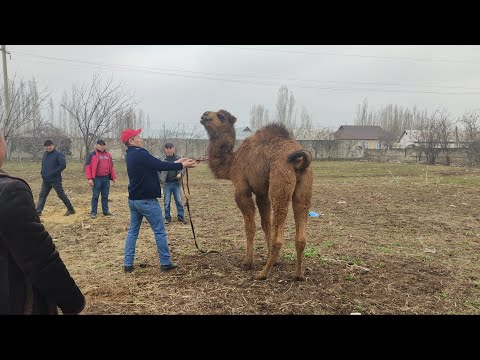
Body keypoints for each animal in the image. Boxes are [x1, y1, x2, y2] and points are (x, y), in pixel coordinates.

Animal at [201, 109, 314, 282]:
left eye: (221, 116)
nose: (204, 115)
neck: (231, 163)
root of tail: (300, 161)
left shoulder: (242, 189)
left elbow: (250, 226)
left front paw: (247, 262)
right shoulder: (262, 193)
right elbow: (265, 224)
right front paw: (274, 260)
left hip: (280, 182)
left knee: (279, 236)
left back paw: (263, 274)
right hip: (304, 188)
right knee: (301, 233)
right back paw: (298, 275)